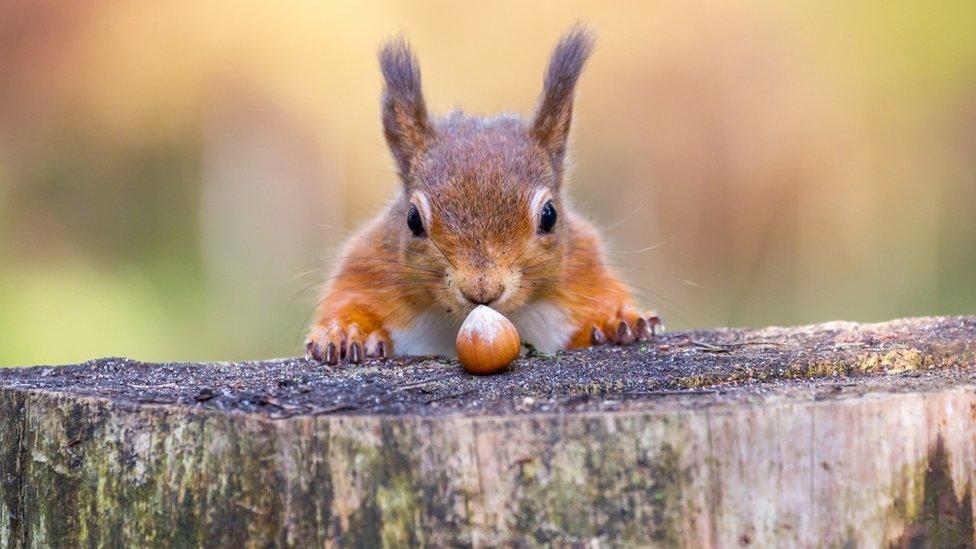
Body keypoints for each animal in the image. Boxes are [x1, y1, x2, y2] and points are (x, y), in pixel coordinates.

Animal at [304, 28, 660, 364]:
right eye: (412, 220)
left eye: (550, 216)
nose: (482, 288)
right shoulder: (367, 267)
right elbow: (350, 300)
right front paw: (347, 332)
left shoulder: (584, 267)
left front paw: (618, 320)